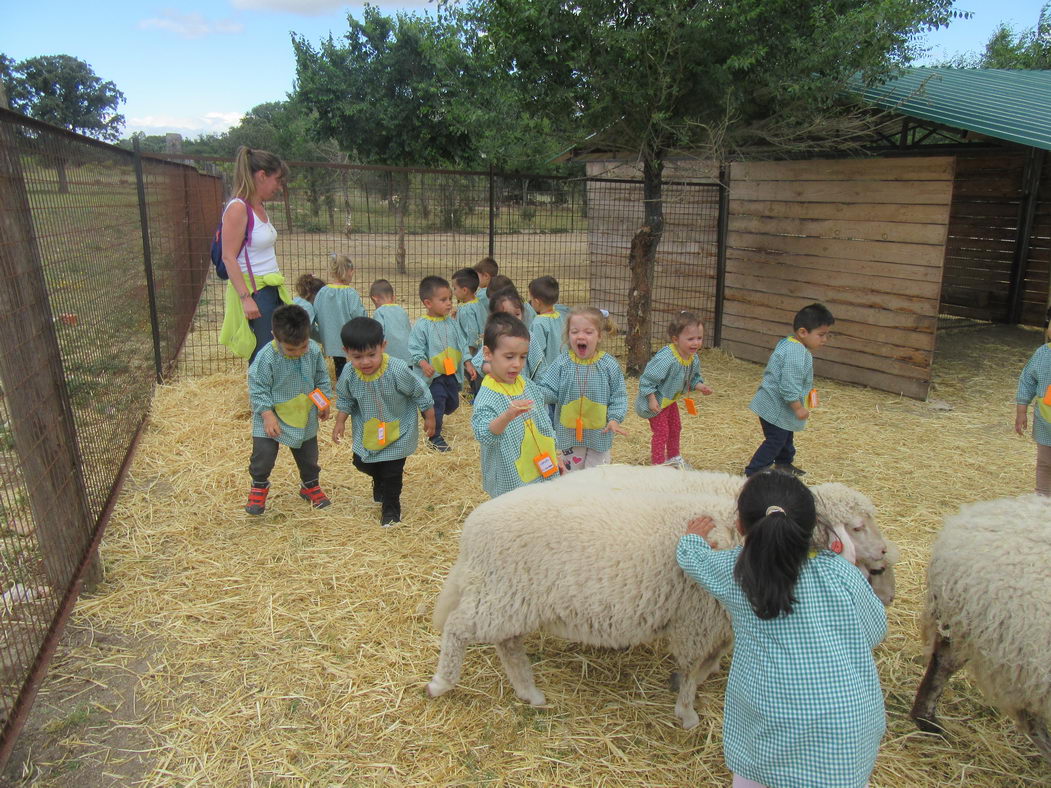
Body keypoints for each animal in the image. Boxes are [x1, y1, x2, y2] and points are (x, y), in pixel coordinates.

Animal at [430, 466, 891, 731]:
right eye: (857, 526)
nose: (885, 553)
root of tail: (473, 530)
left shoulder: (721, 617)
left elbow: (710, 658)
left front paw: (702, 683)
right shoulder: (699, 616)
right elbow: (690, 666)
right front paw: (687, 712)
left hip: (511, 600)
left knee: (507, 644)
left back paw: (530, 693)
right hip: (502, 593)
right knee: (458, 629)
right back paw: (441, 683)